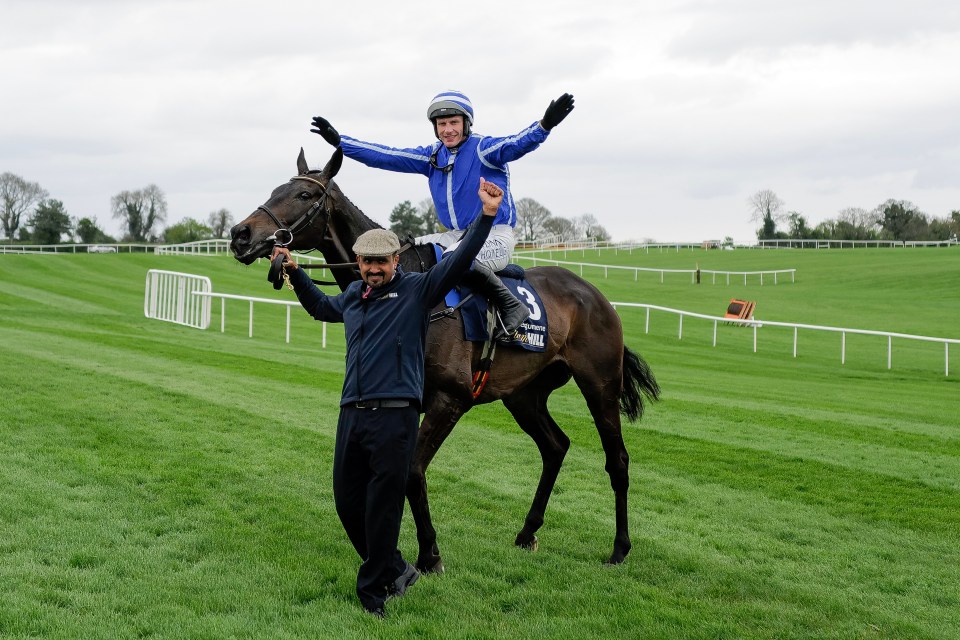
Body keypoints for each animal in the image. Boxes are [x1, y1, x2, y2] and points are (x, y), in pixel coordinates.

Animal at [231, 148, 660, 572]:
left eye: (303, 195)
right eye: (275, 189)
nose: (240, 234)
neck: (408, 287)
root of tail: (595, 295)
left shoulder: (450, 399)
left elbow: (412, 472)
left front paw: (429, 555)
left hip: (599, 384)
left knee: (618, 460)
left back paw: (620, 548)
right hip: (524, 395)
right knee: (555, 447)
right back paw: (527, 533)